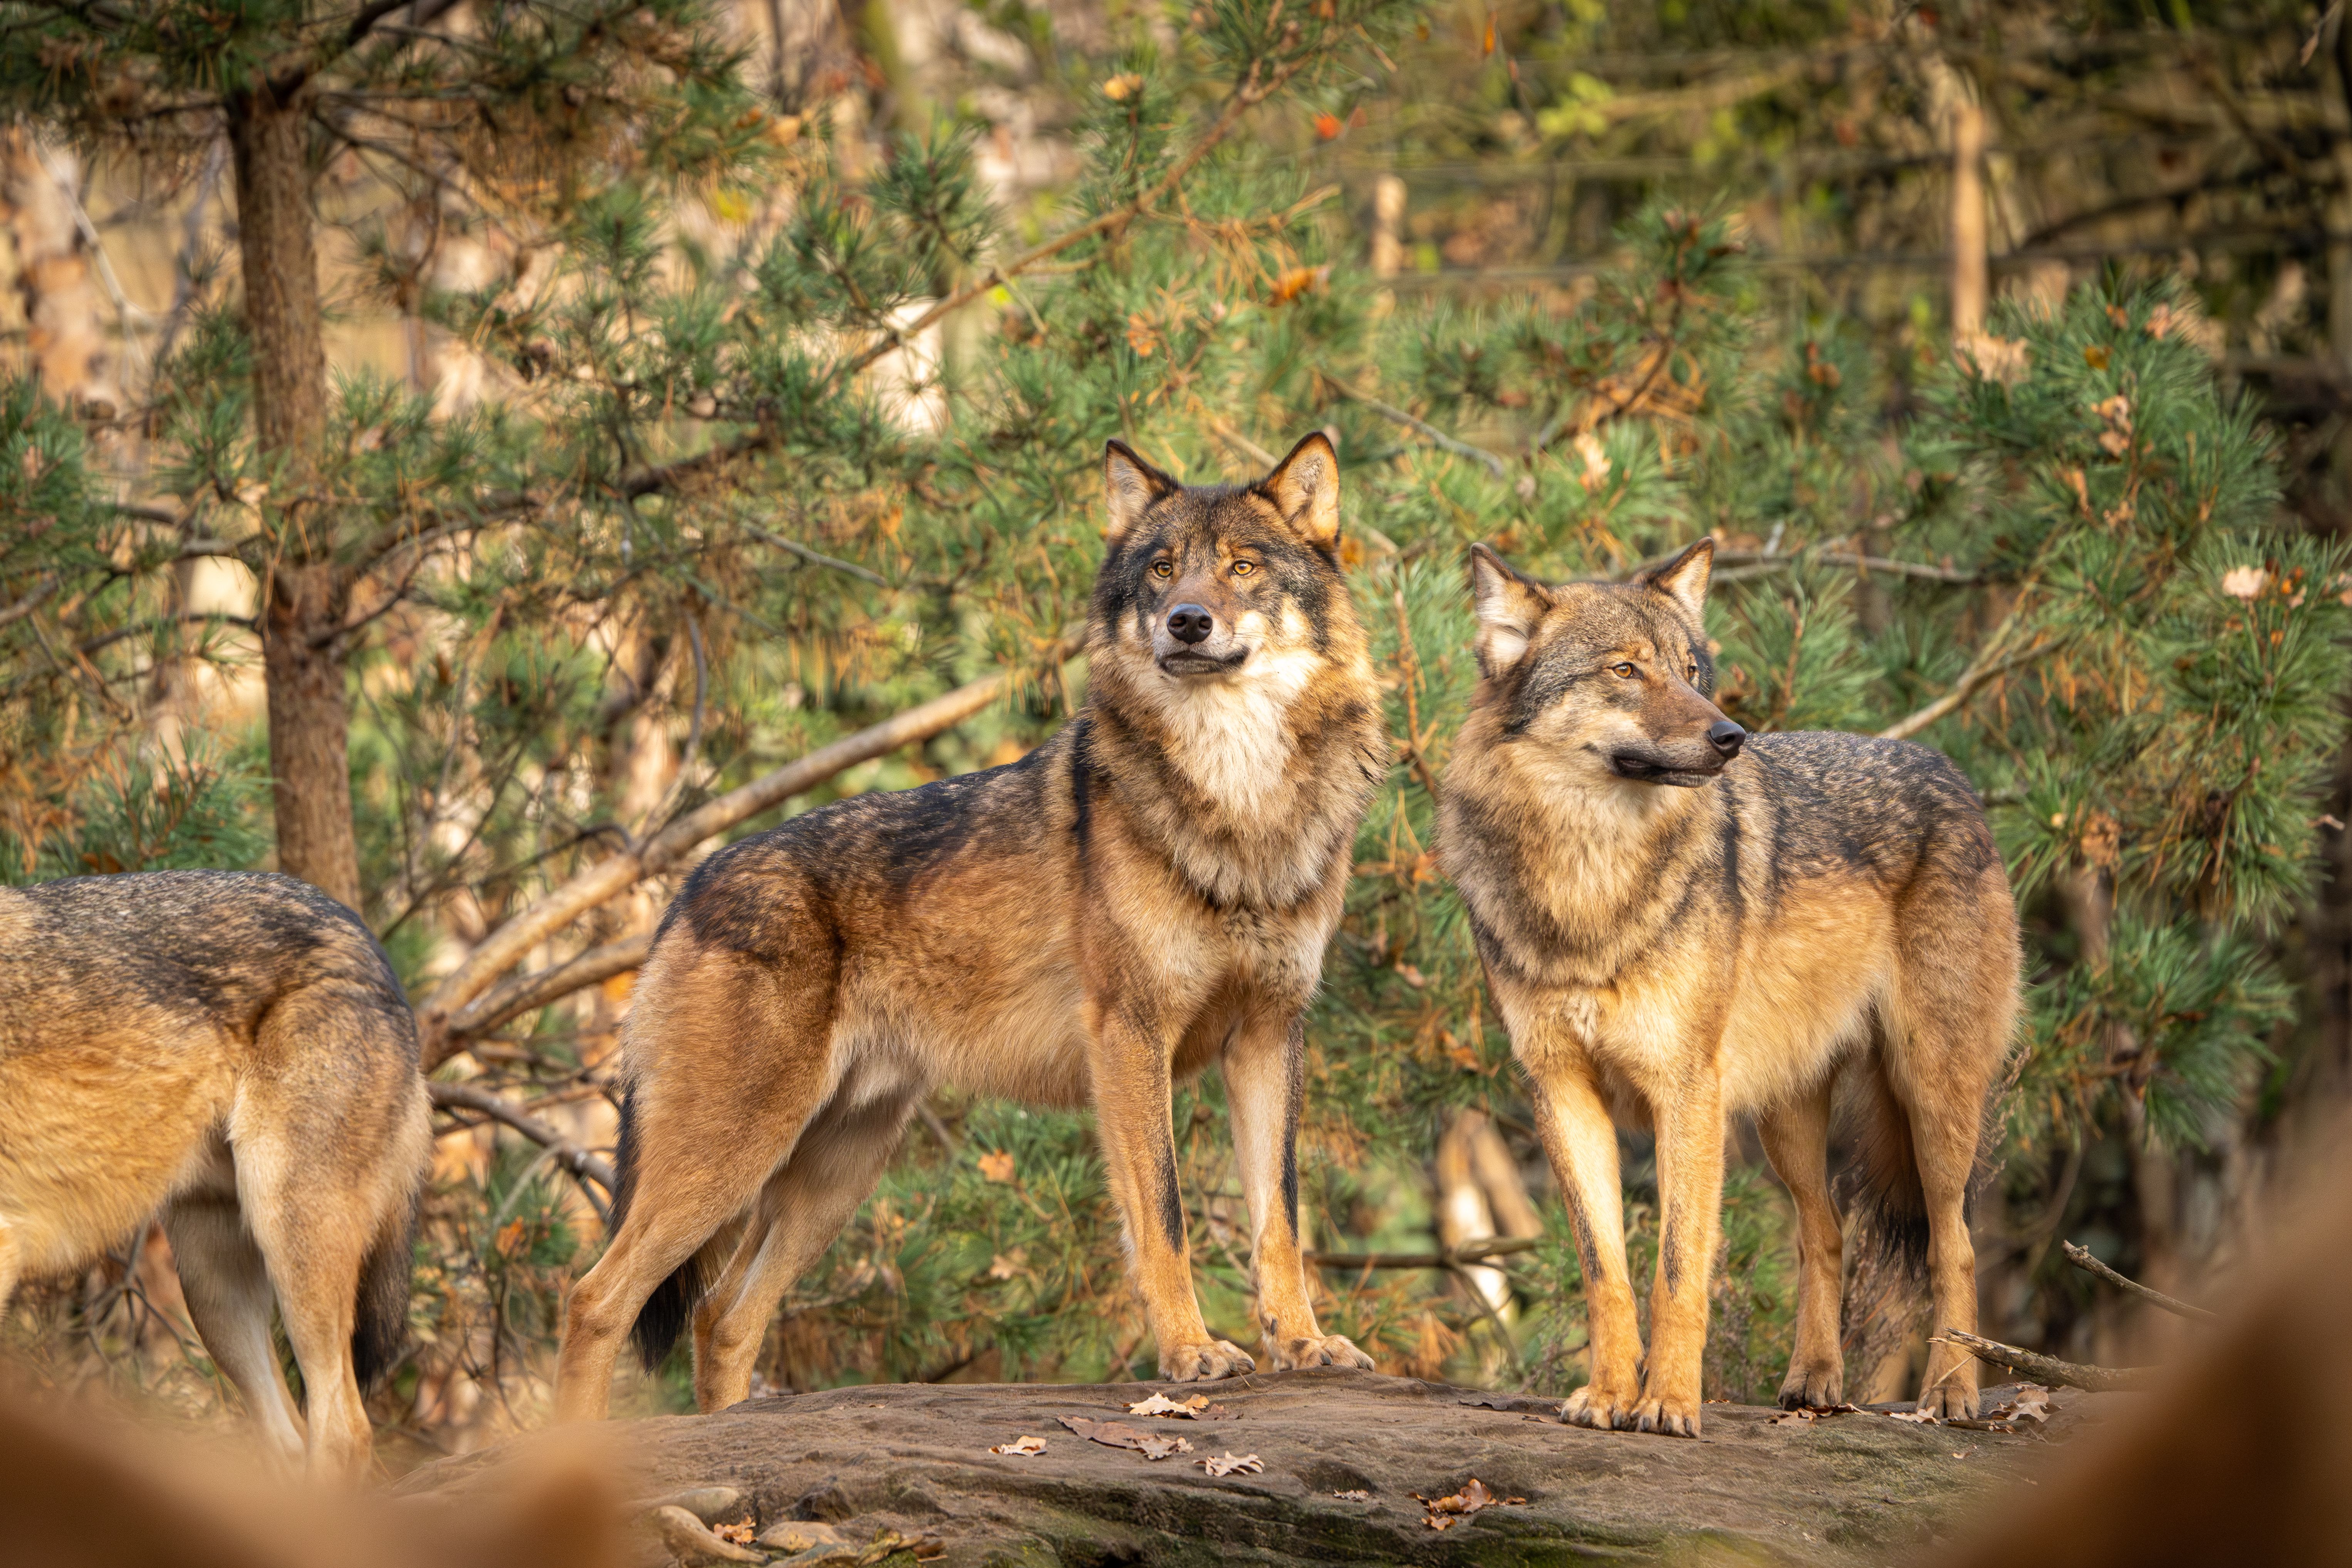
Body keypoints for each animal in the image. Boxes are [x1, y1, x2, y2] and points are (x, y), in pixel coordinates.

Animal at [552, 433, 1388, 1419]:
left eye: (1244, 567)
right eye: (1161, 569)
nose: (1186, 621)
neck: (1240, 803)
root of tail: (688, 885)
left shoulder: (1267, 1033)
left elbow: (1279, 1218)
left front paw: (1303, 1344)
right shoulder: (1130, 1035)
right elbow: (1166, 1216)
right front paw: (1190, 1353)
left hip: (830, 1175)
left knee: (722, 1318)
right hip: (732, 1158)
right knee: (595, 1298)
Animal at [1438, 541, 2019, 1437]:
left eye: (1689, 670)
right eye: (1625, 670)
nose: (1730, 736)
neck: (1588, 882)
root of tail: (1950, 772)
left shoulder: (1685, 1092)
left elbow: (1678, 1268)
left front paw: (1670, 1404)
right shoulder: (1561, 1092)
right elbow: (1605, 1269)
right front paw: (1608, 1397)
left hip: (1930, 1096)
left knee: (1952, 1241)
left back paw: (1951, 1391)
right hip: (1786, 1119)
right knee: (1824, 1232)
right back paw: (1814, 1381)